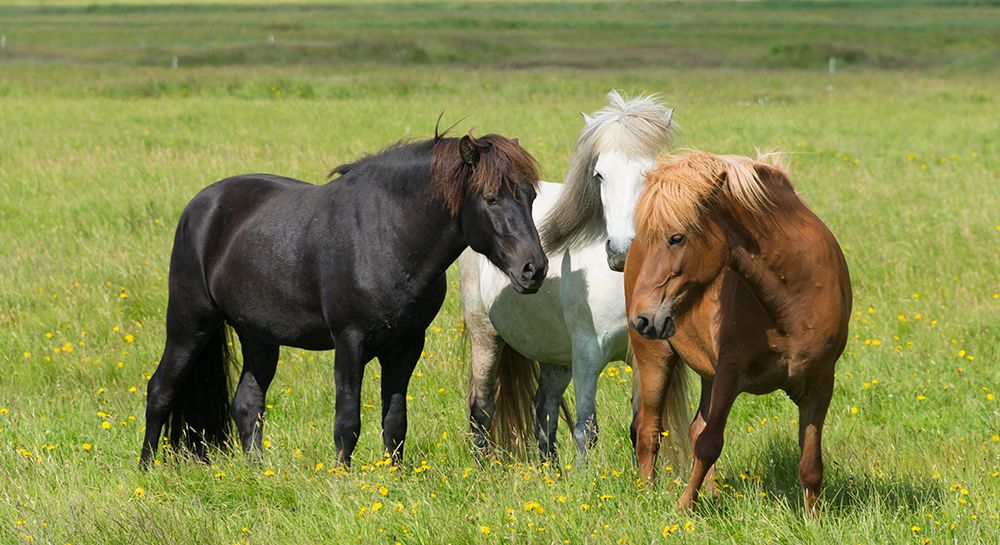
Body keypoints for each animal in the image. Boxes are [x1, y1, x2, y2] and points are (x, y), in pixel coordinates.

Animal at [139, 129, 548, 468]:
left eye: (530, 196)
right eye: (491, 198)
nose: (534, 269)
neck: (387, 235)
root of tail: (201, 206)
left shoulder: (406, 345)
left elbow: (395, 420)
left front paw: (393, 477)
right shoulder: (350, 342)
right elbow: (347, 420)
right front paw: (344, 478)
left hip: (258, 336)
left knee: (247, 404)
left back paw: (258, 472)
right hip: (190, 323)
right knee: (160, 390)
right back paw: (147, 469)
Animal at [460, 91, 678, 460]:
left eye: (650, 173)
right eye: (599, 174)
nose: (621, 252)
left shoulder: (643, 355)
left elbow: (642, 429)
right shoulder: (588, 355)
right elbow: (586, 430)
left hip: (556, 355)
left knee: (543, 410)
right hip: (485, 336)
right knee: (481, 408)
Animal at [625, 151, 851, 517]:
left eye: (677, 238)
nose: (642, 318)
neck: (792, 300)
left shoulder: (819, 384)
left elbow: (810, 463)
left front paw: (813, 519)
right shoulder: (729, 375)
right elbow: (709, 443)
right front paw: (684, 508)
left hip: (707, 373)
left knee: (692, 428)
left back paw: (715, 495)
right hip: (655, 358)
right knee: (649, 430)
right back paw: (647, 494)